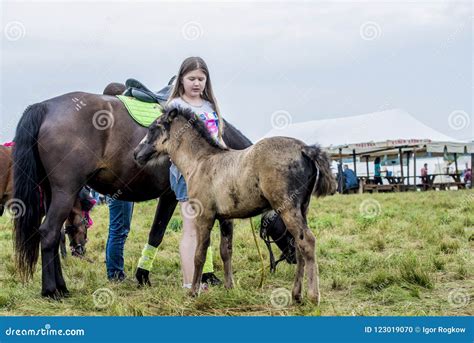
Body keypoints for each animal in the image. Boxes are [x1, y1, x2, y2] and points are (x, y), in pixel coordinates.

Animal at [133, 108, 336, 306]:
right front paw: (229, 288)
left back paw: (313, 297)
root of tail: (304, 149)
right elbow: (226, 251)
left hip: (287, 208)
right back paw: (296, 295)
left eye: (153, 128)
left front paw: (193, 293)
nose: (136, 153)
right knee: (299, 247)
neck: (200, 161)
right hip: (303, 207)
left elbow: (199, 254)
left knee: (307, 242)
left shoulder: (204, 216)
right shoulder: (226, 218)